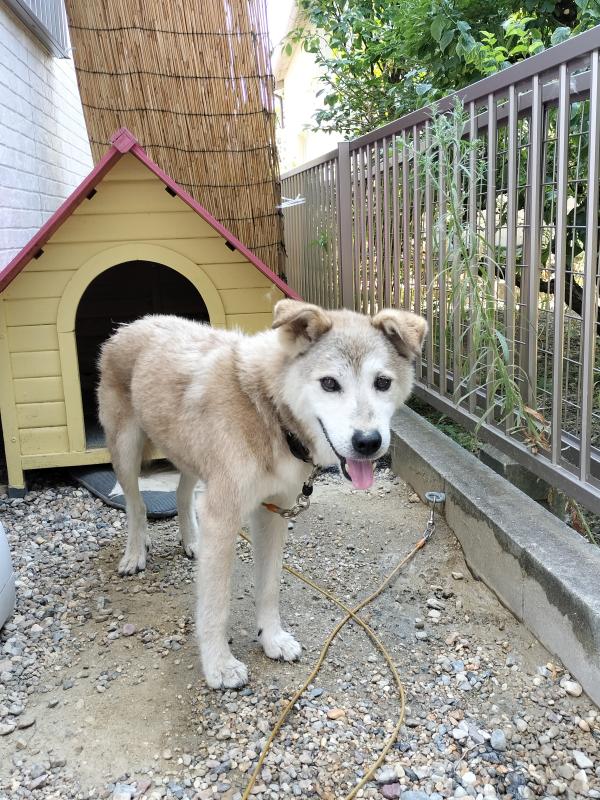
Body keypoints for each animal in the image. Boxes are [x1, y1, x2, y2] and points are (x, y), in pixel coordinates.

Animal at [97, 299, 427, 688]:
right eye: (330, 383)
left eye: (382, 382)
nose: (368, 442)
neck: (267, 408)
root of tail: (132, 324)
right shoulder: (223, 517)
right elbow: (215, 604)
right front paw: (219, 665)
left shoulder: (274, 511)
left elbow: (269, 587)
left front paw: (271, 639)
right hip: (126, 450)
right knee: (136, 505)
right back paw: (135, 554)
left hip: (192, 456)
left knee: (182, 493)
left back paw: (192, 541)